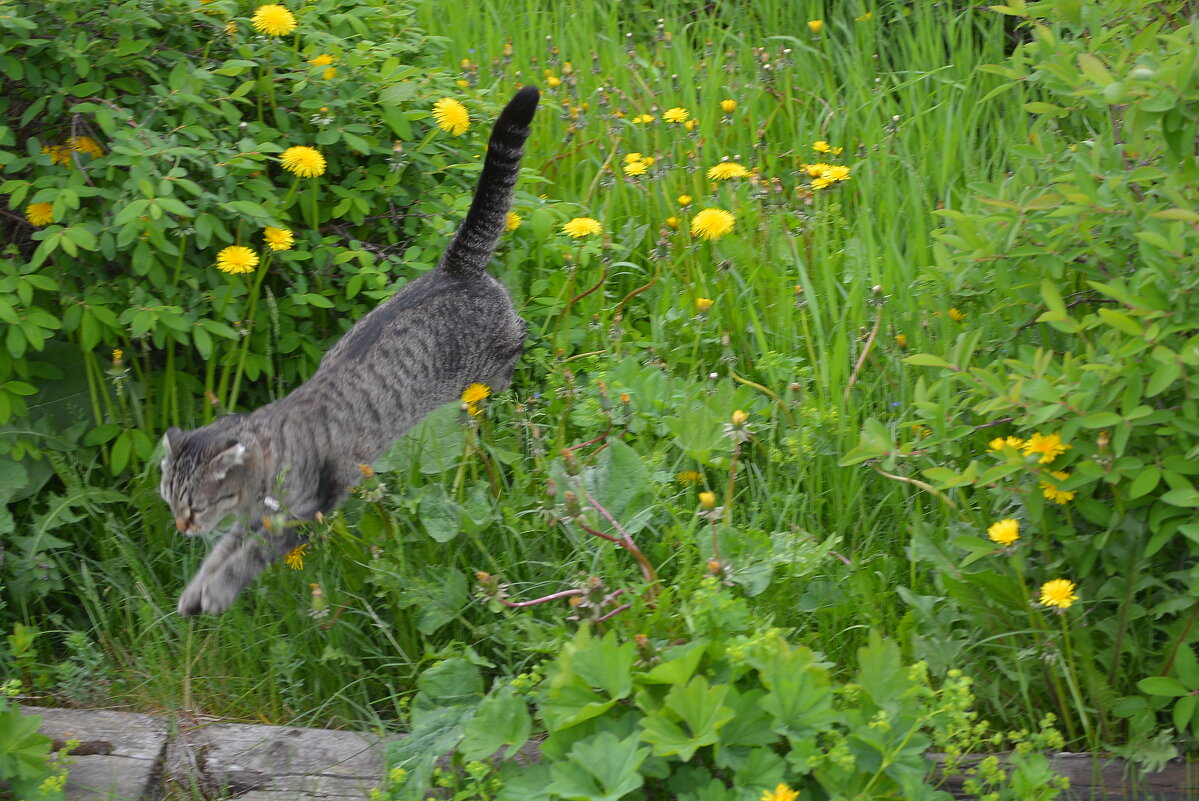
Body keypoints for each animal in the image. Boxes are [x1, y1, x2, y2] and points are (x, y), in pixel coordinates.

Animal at [158, 86, 539, 613]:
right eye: (170, 503)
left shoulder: (302, 514)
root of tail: (454, 269)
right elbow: (222, 554)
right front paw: (196, 593)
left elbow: (242, 561)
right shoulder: (254, 522)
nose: (181, 527)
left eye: (195, 506)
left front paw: (215, 593)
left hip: (492, 369)